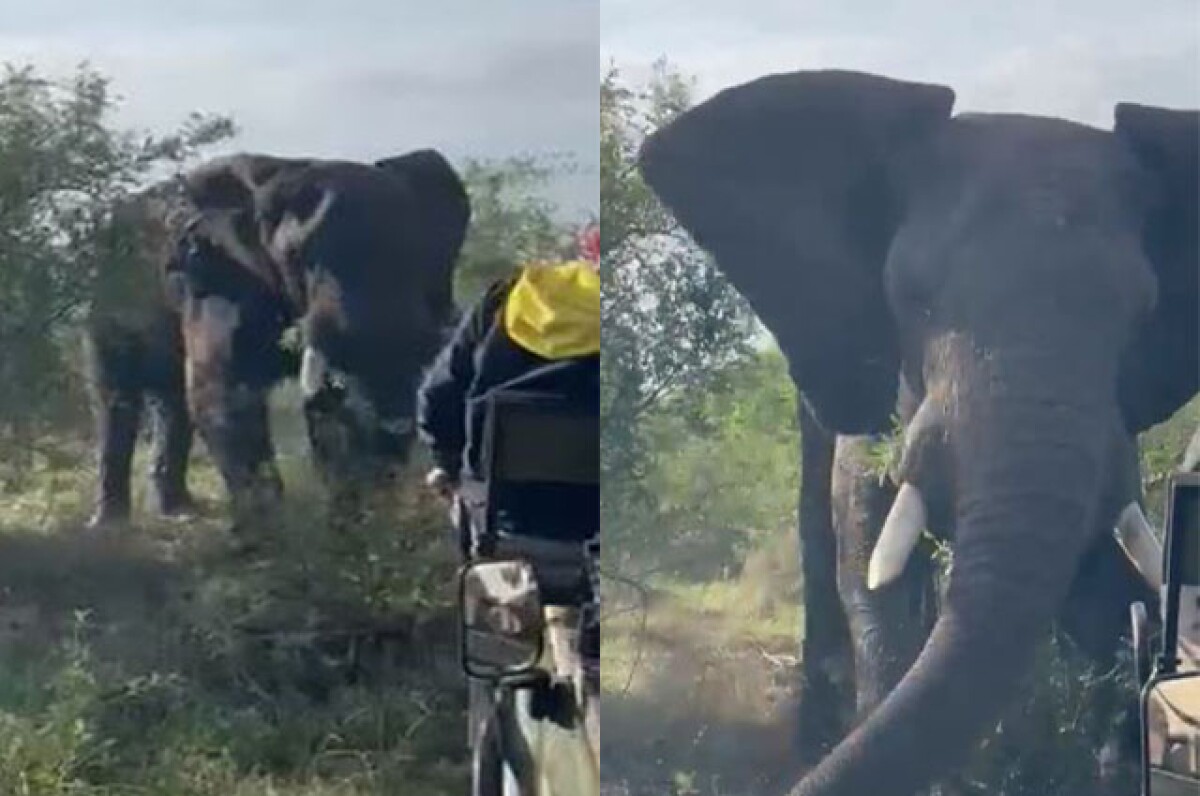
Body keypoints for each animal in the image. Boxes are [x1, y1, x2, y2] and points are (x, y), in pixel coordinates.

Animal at [87, 152, 470, 533]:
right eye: (297, 257)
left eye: (417, 249)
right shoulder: (217, 275)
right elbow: (226, 392)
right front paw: (273, 533)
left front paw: (360, 522)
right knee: (117, 399)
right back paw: (109, 524)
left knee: (172, 401)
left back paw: (178, 511)